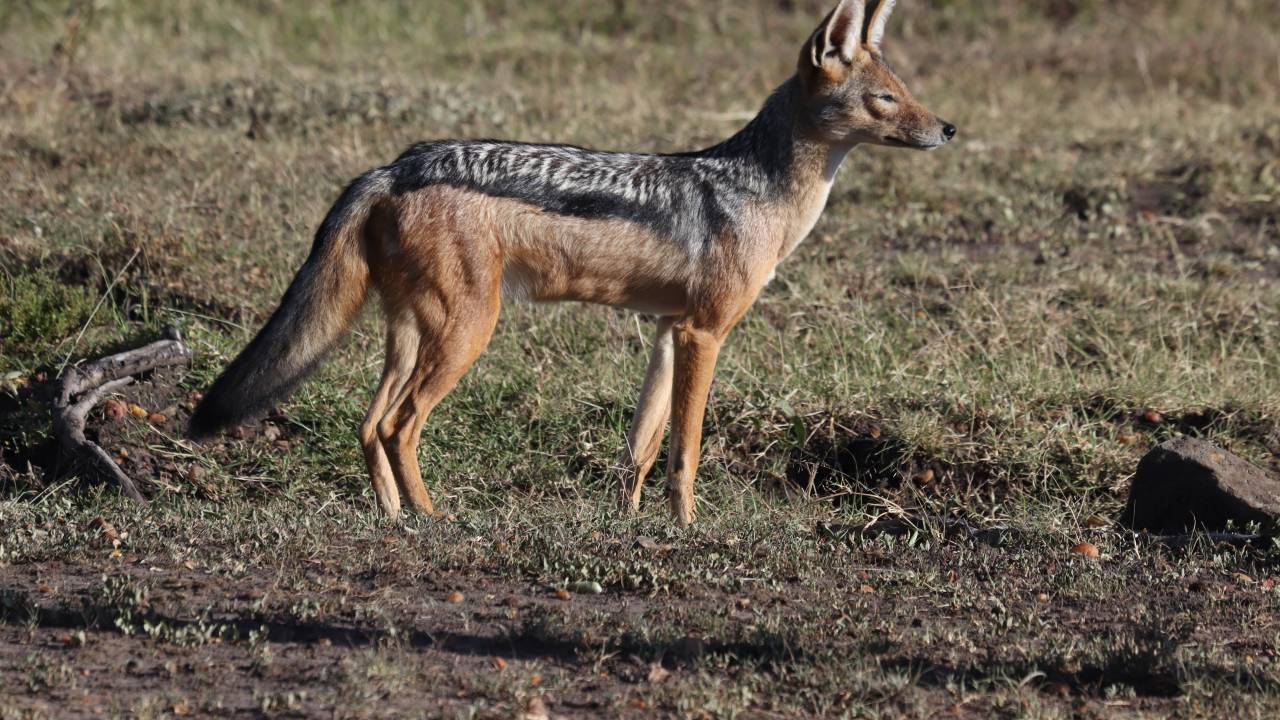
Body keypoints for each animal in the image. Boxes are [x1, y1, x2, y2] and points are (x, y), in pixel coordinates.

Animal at [190, 0, 956, 526]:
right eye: (886, 99)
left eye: (909, 90)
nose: (949, 127)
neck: (760, 192)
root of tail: (395, 164)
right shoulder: (704, 334)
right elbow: (686, 450)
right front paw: (689, 529)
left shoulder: (667, 332)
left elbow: (641, 448)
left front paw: (629, 525)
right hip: (466, 336)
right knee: (397, 425)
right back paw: (434, 519)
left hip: (412, 338)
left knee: (368, 423)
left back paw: (395, 517)